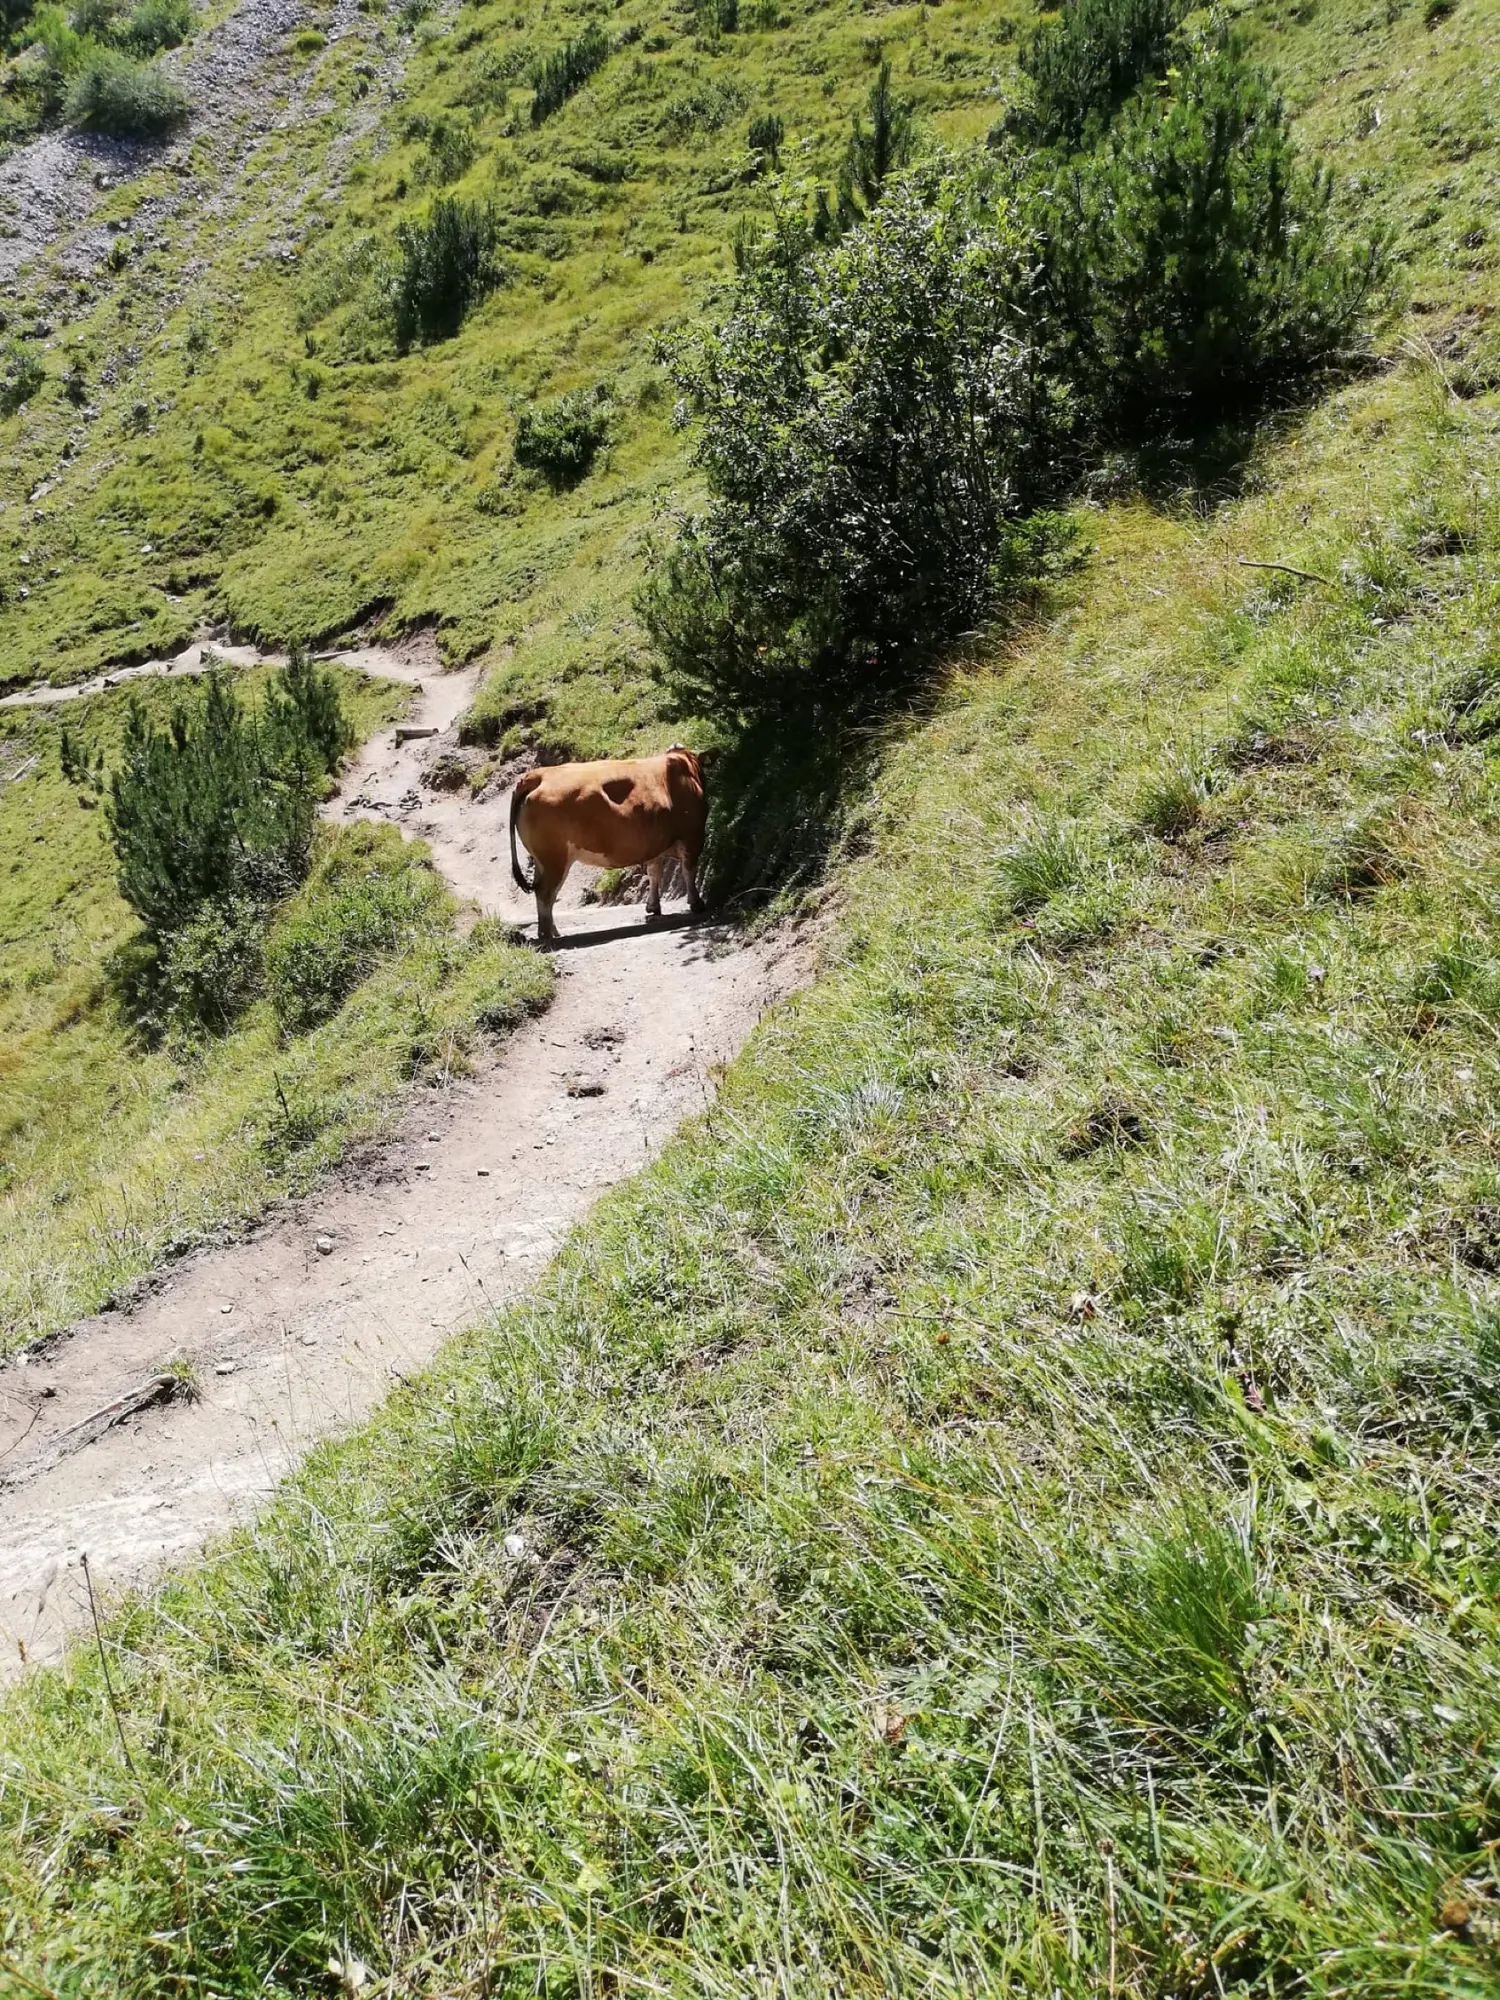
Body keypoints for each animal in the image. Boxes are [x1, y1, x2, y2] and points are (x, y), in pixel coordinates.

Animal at [509, 746, 707, 941]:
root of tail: (538, 775)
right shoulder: (693, 835)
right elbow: (689, 869)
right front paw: (697, 903)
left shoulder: (656, 845)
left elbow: (654, 873)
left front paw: (653, 907)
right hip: (555, 859)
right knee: (545, 893)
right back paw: (546, 934)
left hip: (543, 860)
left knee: (541, 890)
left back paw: (552, 931)